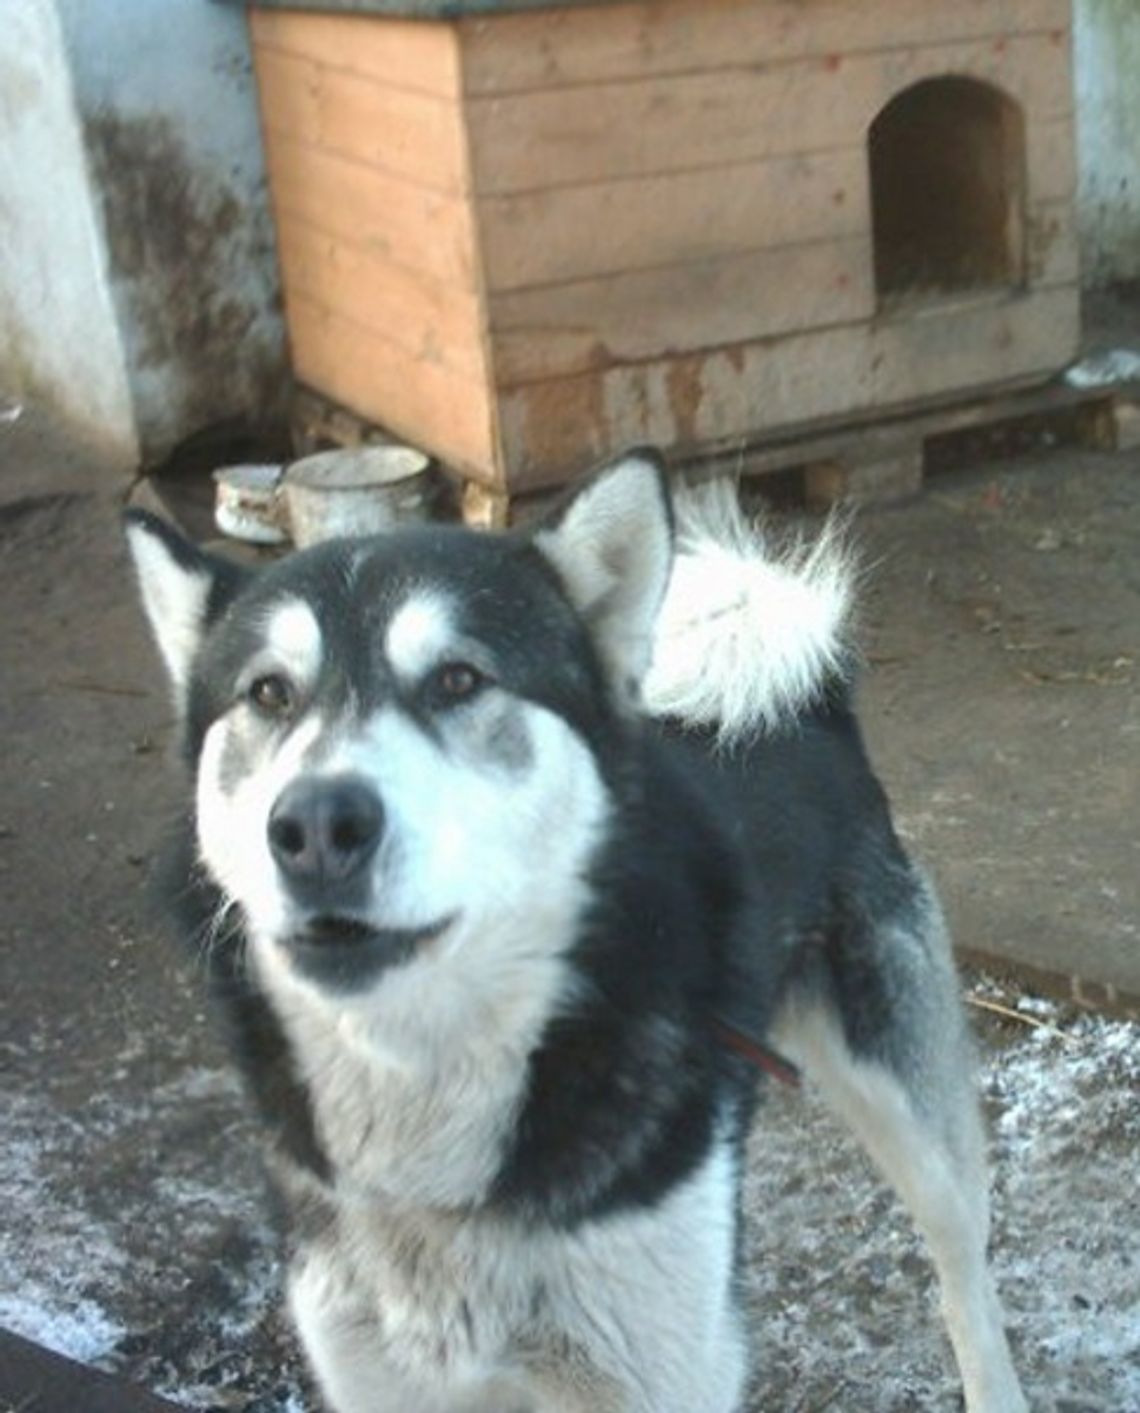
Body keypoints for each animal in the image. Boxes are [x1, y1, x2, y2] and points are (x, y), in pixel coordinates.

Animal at [125, 454, 1022, 1413]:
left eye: (458, 679)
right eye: (268, 693)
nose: (318, 826)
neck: (427, 1090)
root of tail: (806, 704)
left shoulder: (661, 1366)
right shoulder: (378, 1371)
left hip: (913, 1116)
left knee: (962, 1266)